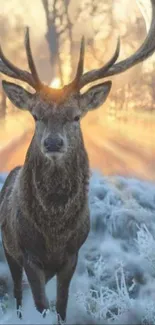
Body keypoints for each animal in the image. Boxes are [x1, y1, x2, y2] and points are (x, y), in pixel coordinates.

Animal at [0, 0, 155, 322]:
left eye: (76, 116)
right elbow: (41, 304)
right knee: (18, 294)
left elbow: (60, 306)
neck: (54, 233)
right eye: (36, 115)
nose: (53, 143)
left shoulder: (72, 254)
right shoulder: (27, 253)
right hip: (8, 249)